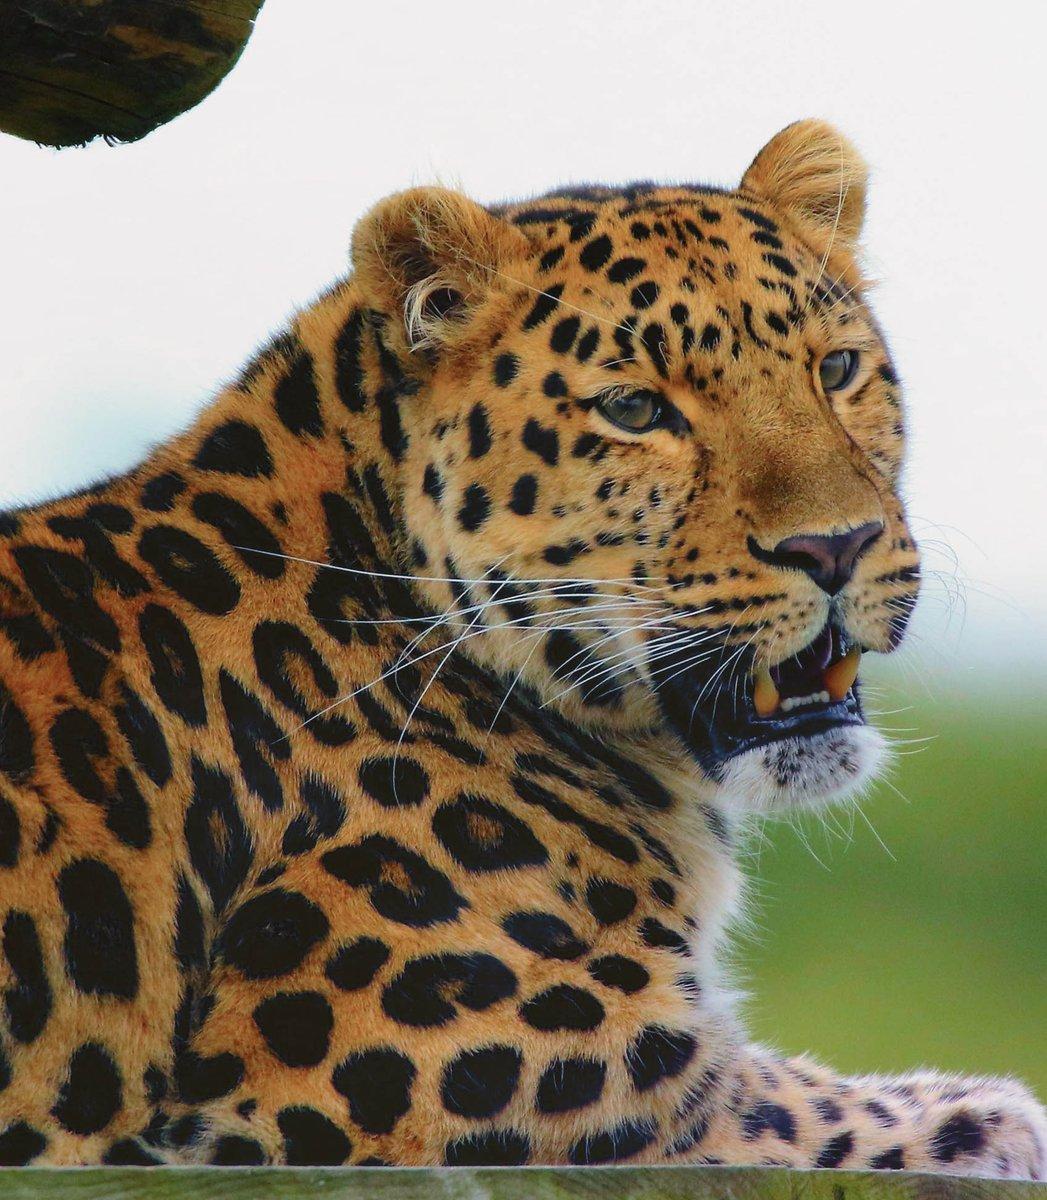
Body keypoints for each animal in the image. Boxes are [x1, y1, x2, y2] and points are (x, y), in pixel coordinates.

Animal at [0, 119, 1044, 1177]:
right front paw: (991, 1116)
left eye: (833, 370)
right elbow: (781, 1108)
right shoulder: (419, 1069)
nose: (834, 546)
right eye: (634, 410)